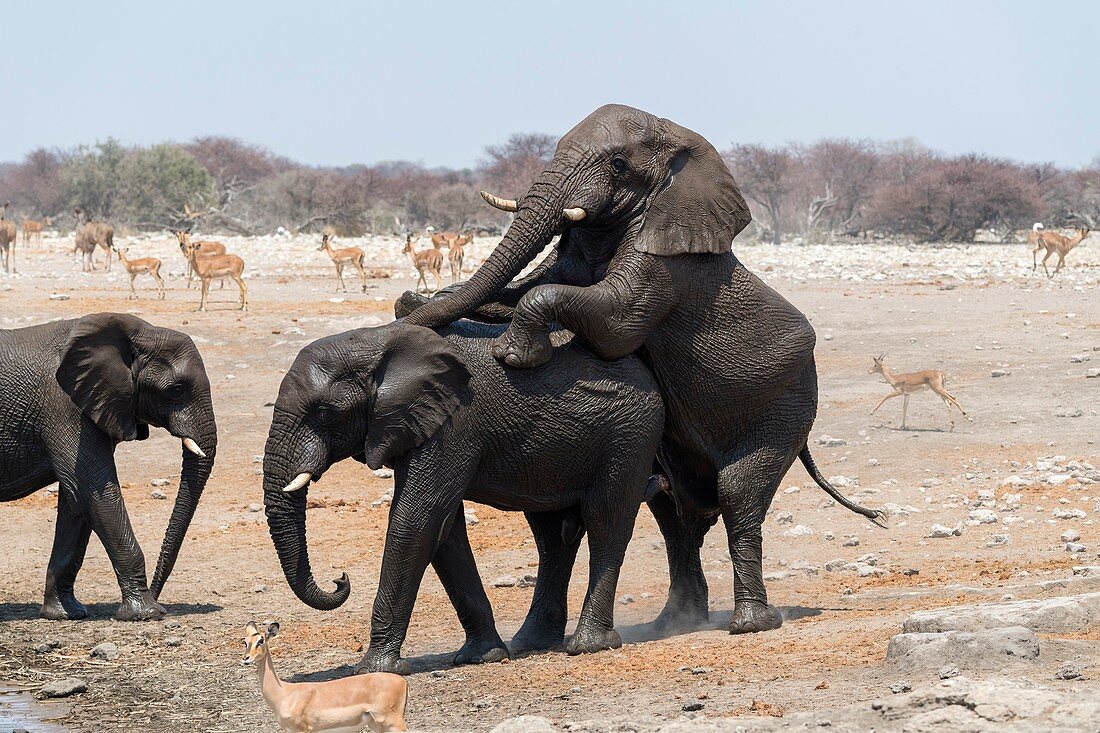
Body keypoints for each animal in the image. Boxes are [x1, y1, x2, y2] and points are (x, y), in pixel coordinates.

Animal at [0, 310, 216, 620]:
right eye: (176, 390)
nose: (159, 594)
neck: (135, 333)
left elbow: (76, 502)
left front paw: (66, 613)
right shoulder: (64, 408)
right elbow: (93, 493)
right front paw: (146, 613)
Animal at [261, 319, 664, 673]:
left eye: (325, 413)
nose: (340, 580)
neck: (379, 341)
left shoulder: (454, 423)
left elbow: (417, 519)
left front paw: (375, 669)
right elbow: (445, 532)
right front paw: (482, 657)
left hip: (630, 435)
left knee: (605, 521)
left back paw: (589, 645)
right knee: (553, 535)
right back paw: (531, 643)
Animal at [398, 105, 884, 638]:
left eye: (617, 164)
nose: (402, 312)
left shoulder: (665, 266)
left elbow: (608, 319)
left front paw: (512, 354)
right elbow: (523, 288)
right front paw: (421, 301)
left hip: (786, 404)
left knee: (738, 494)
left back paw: (751, 624)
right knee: (675, 514)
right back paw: (673, 622)